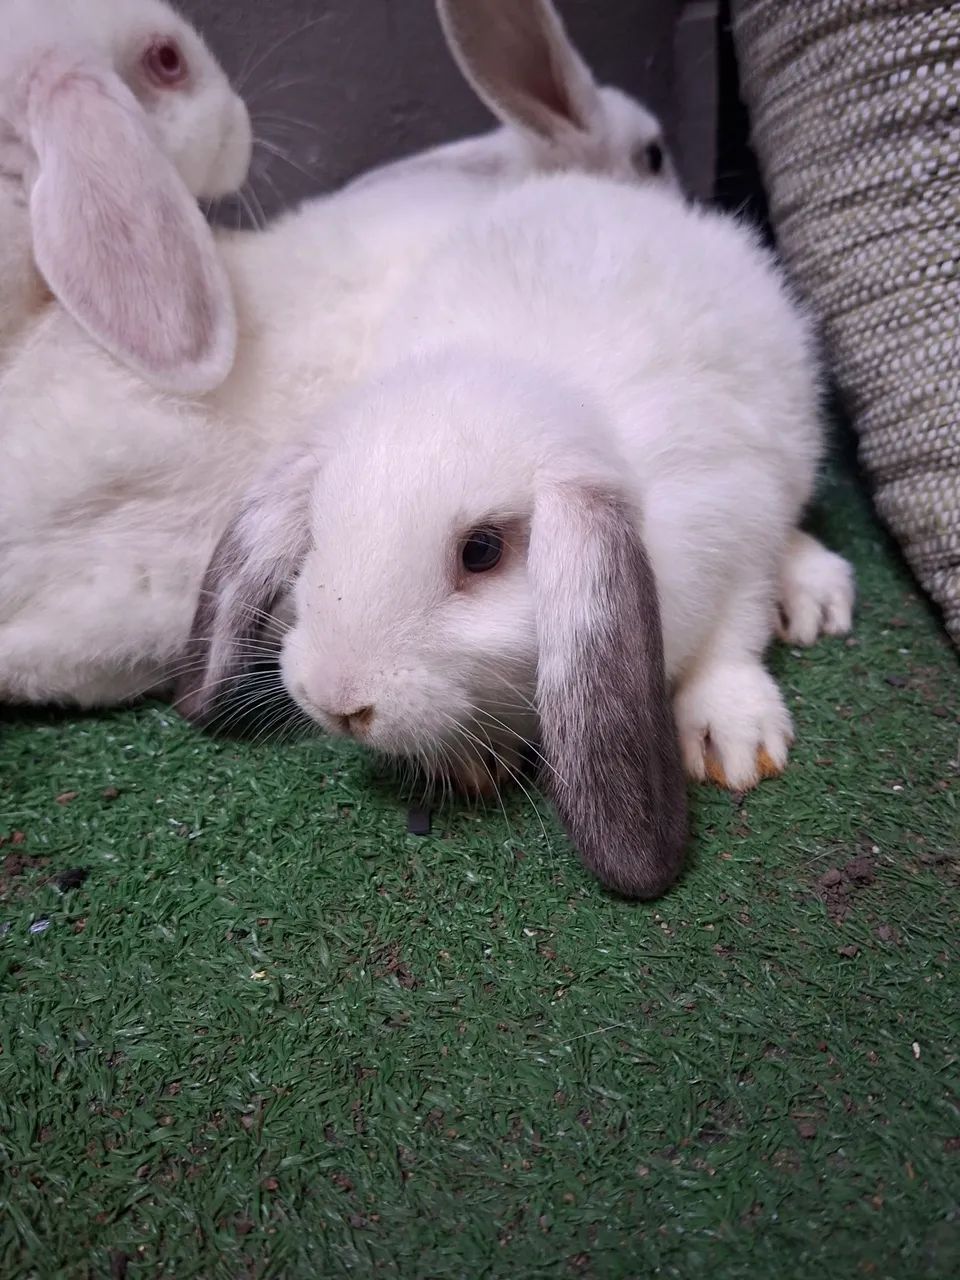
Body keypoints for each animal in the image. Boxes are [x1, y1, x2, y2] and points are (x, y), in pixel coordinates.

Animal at [177, 172, 858, 898]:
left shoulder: (736, 529)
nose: (337, 703)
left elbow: (731, 642)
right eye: (316, 534)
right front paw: (473, 762)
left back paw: (816, 597)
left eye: (482, 551)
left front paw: (732, 740)